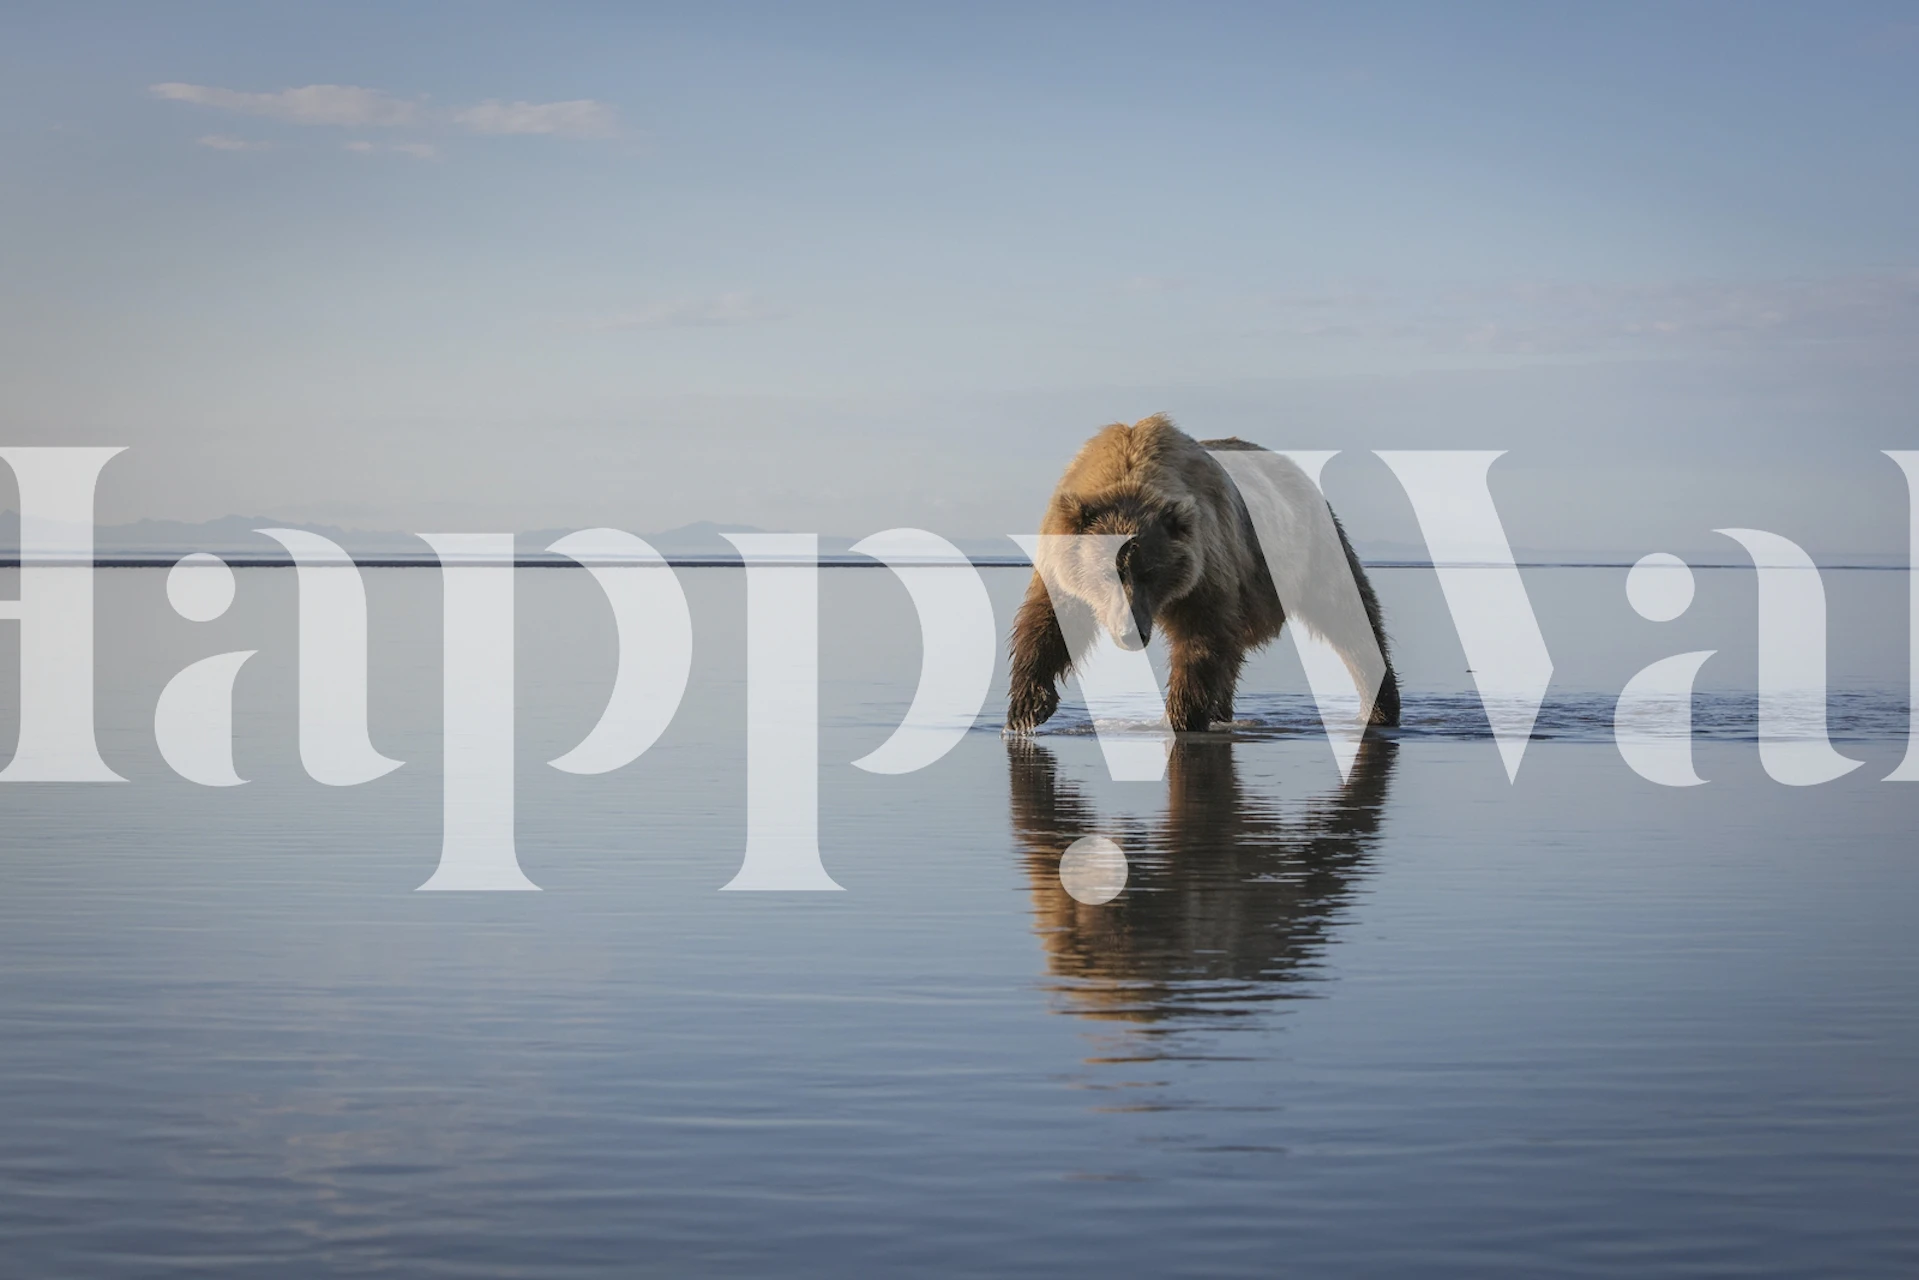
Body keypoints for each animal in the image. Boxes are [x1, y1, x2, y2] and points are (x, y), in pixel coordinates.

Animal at [1005, 413, 1400, 734]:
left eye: (1151, 572)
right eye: (1106, 574)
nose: (1132, 633)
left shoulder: (1205, 566)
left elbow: (1201, 638)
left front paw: (1181, 716)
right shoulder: (1060, 558)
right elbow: (1048, 621)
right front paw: (1025, 709)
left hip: (1315, 548)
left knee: (1351, 617)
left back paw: (1381, 706)